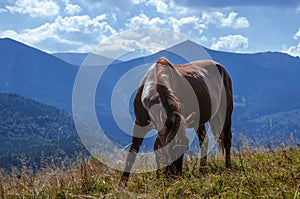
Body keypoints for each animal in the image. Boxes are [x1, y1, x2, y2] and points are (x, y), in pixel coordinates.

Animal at [118, 57, 233, 187]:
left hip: (226, 114)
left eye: (185, 148)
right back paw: (202, 170)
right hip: (198, 121)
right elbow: (135, 151)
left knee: (226, 139)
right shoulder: (140, 125)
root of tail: (221, 68)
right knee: (204, 140)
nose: (175, 178)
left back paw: (228, 168)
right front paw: (123, 184)